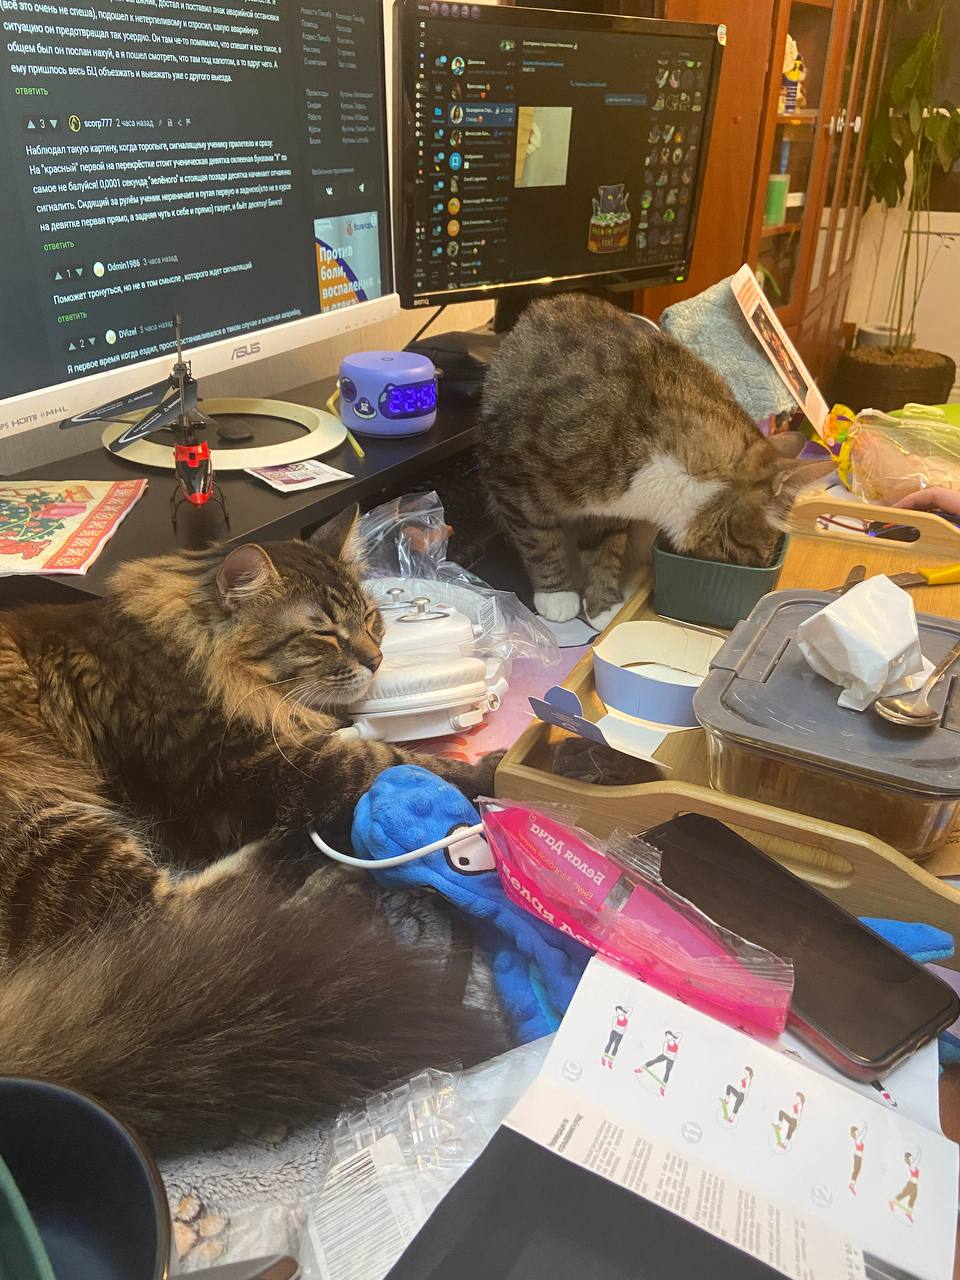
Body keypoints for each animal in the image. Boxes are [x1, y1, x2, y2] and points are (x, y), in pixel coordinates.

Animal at [0, 505, 503, 1156]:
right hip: (54, 826)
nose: (375, 660)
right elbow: (394, 765)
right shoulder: (250, 770)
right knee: (185, 925)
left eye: (371, 619)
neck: (189, 649)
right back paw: (322, 872)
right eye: (324, 634)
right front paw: (521, 767)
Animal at [478, 293, 833, 628]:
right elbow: (539, 540)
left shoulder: (609, 509)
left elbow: (607, 549)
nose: (759, 567)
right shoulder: (511, 478)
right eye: (757, 553)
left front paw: (603, 603)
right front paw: (558, 595)